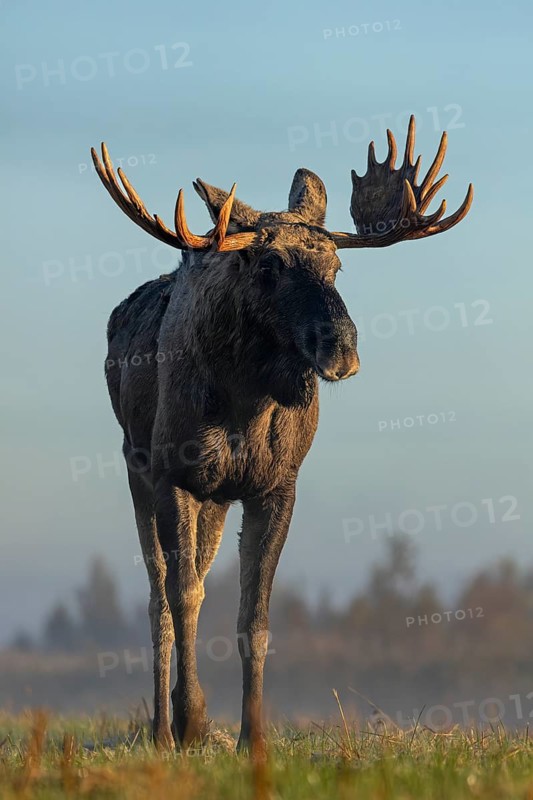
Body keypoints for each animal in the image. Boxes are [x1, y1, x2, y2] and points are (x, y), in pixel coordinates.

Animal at [91, 116, 473, 754]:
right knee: (159, 598)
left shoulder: (276, 485)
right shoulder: (173, 475)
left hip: (217, 501)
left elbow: (255, 616)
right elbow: (182, 597)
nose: (341, 350)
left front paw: (253, 736)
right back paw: (163, 729)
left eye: (337, 267)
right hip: (136, 469)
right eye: (268, 265)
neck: (245, 404)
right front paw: (194, 721)